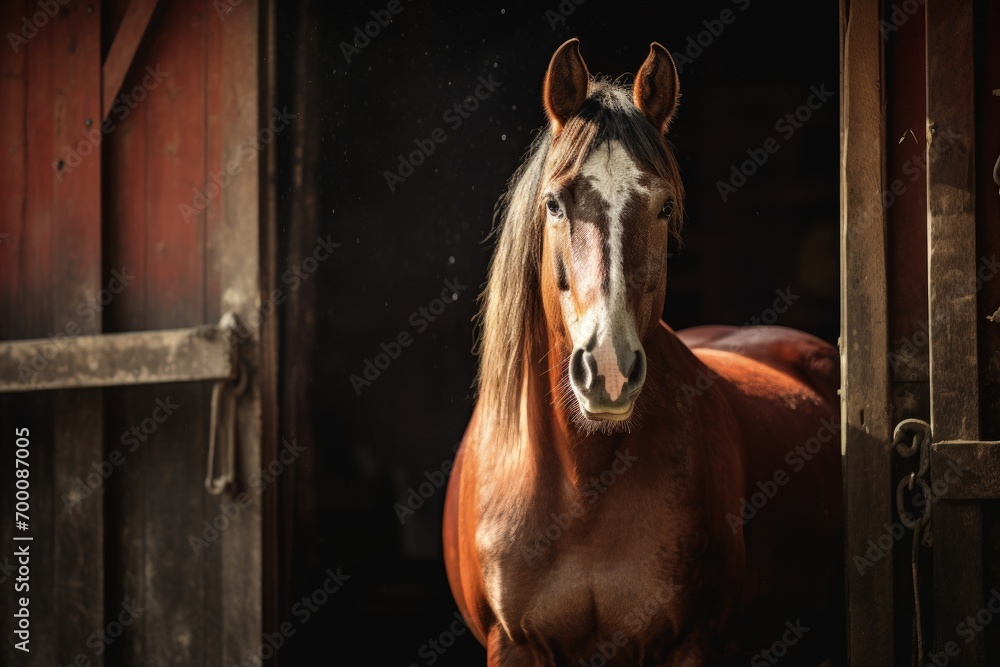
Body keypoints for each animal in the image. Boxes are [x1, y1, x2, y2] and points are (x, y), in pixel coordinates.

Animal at [442, 38, 843, 666]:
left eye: (663, 207)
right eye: (554, 203)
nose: (608, 369)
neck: (581, 481)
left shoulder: (685, 643)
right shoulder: (512, 646)